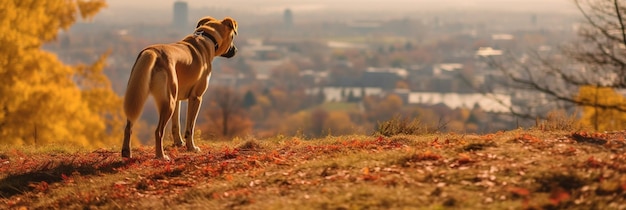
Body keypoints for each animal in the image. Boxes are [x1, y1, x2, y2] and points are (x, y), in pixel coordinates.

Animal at [121, 16, 236, 161]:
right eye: (233, 36)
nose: (235, 50)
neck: (207, 38)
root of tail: (152, 52)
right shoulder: (196, 97)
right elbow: (190, 128)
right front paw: (191, 148)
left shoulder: (177, 99)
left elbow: (176, 125)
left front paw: (178, 143)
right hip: (168, 102)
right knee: (158, 131)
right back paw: (161, 155)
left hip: (138, 93)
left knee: (128, 125)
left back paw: (126, 152)